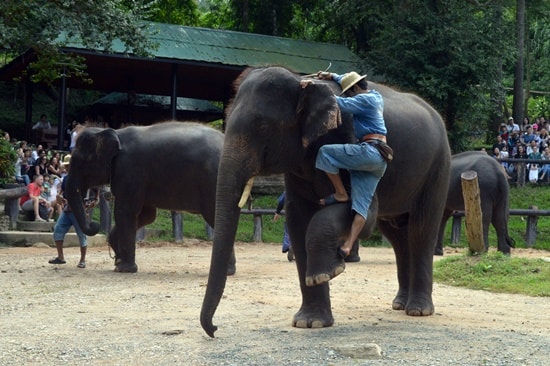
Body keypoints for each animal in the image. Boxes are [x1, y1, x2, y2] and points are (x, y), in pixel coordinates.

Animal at [201, 66, 450, 338]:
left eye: (263, 126)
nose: (214, 329)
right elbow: (298, 220)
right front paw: (310, 323)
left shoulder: (348, 137)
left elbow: (362, 213)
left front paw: (328, 272)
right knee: (398, 237)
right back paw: (399, 304)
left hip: (438, 167)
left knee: (421, 230)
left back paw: (418, 310)